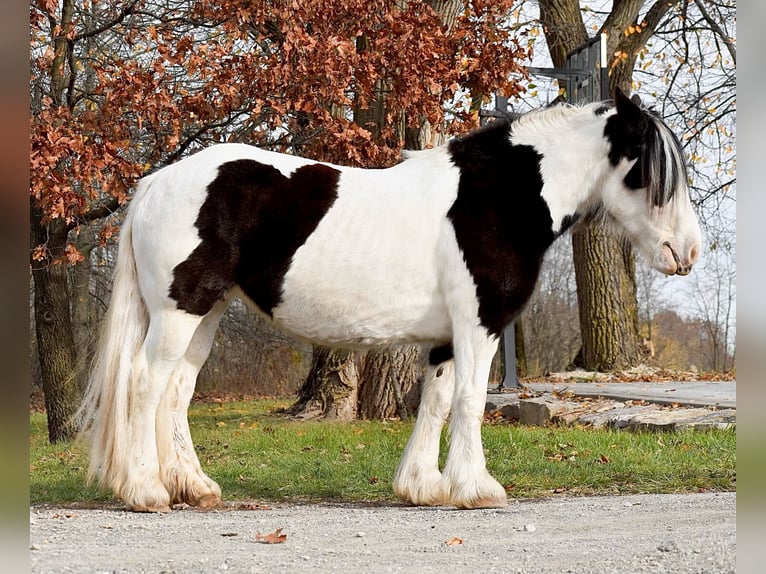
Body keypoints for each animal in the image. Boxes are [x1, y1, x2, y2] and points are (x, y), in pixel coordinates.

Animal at [78, 89, 704, 512]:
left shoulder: (449, 335)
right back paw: (146, 491)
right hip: (179, 310)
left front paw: (423, 487)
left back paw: (194, 486)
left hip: (203, 314)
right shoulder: (481, 324)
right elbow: (470, 401)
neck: (497, 198)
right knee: (145, 384)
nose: (688, 252)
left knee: (175, 391)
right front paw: (477, 488)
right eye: (650, 173)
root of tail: (156, 183)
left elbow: (436, 400)